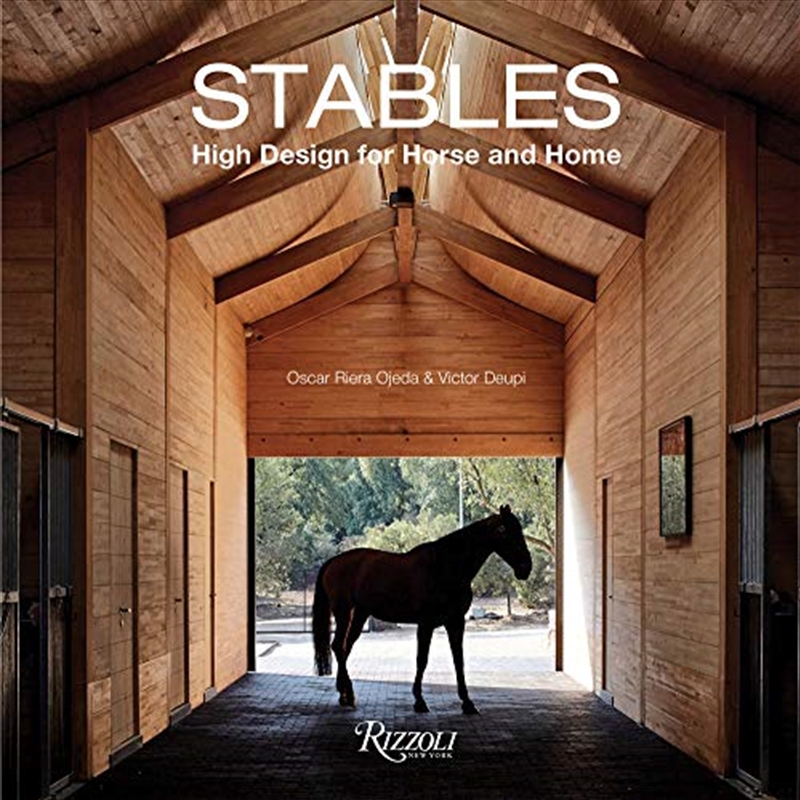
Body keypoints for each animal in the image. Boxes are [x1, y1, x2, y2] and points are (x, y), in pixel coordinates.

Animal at [312, 505, 532, 715]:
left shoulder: (456, 622)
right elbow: (422, 660)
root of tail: (332, 562)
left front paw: (467, 703)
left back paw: (344, 694)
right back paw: (347, 694)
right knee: (338, 646)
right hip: (343, 612)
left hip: (359, 614)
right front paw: (419, 701)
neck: (444, 567)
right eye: (503, 530)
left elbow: (458, 660)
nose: (526, 567)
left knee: (345, 647)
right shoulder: (425, 624)